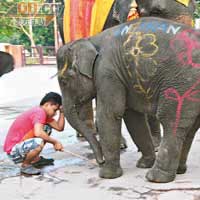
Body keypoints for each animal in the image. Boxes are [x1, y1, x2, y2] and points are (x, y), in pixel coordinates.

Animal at [56, 17, 200, 183]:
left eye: (64, 81)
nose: (100, 161)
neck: (90, 39)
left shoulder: (107, 72)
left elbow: (109, 114)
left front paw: (107, 175)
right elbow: (132, 117)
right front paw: (143, 163)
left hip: (180, 85)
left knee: (171, 122)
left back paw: (155, 177)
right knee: (190, 128)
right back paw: (179, 171)